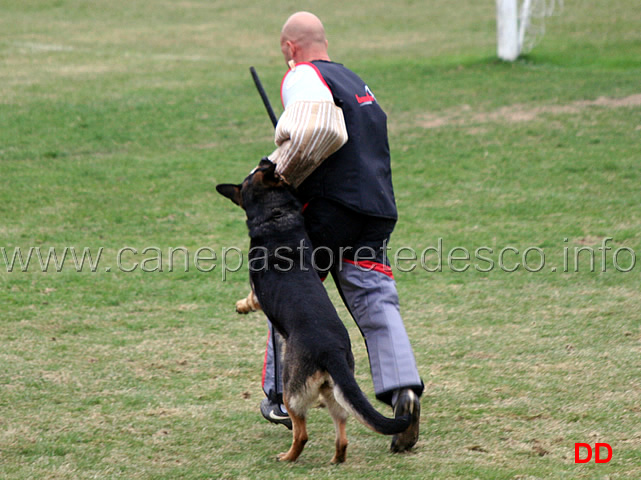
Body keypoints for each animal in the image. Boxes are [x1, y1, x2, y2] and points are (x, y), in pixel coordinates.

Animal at [215, 159, 410, 464]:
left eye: (250, 176)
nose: (267, 161)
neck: (276, 217)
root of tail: (330, 351)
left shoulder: (257, 292)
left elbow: (250, 298)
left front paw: (241, 306)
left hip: (291, 392)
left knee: (302, 432)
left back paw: (287, 457)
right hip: (336, 394)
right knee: (342, 433)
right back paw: (336, 459)